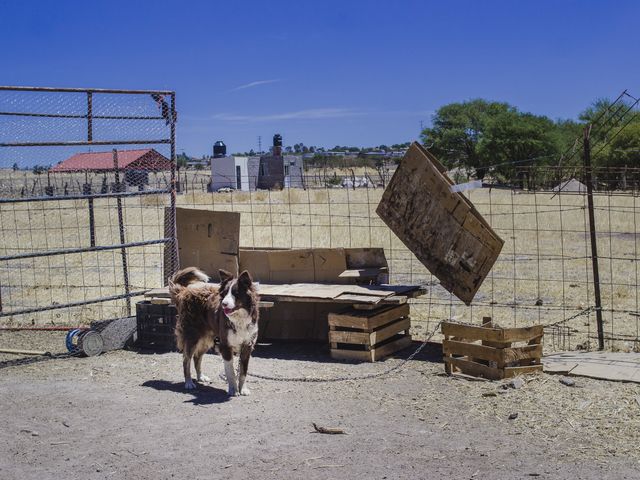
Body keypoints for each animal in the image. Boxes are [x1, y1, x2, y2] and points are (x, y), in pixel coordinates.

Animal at [171, 264, 262, 396]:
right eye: (224, 293)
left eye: (236, 293)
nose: (223, 304)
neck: (239, 317)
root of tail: (185, 291)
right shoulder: (226, 346)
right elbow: (231, 372)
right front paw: (233, 389)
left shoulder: (247, 346)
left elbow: (243, 372)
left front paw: (243, 389)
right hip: (192, 336)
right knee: (186, 359)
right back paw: (188, 382)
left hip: (206, 338)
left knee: (197, 357)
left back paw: (201, 377)